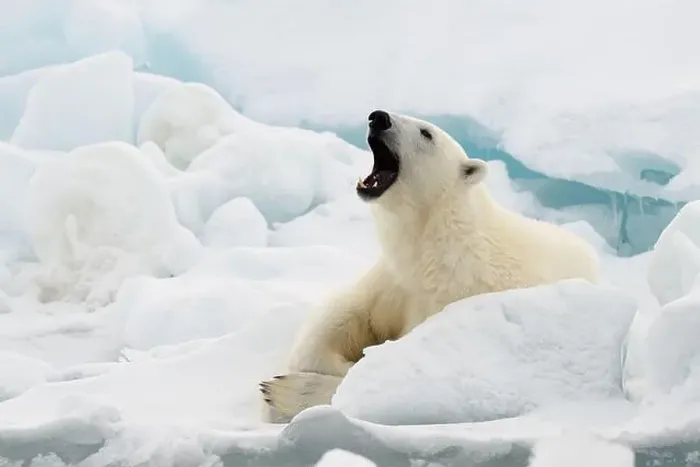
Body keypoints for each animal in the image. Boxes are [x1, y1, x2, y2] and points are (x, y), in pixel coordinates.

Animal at [259, 110, 600, 422]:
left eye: (426, 133)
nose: (378, 117)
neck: (435, 244)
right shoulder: (394, 279)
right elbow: (341, 314)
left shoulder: (455, 302)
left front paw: (286, 391)